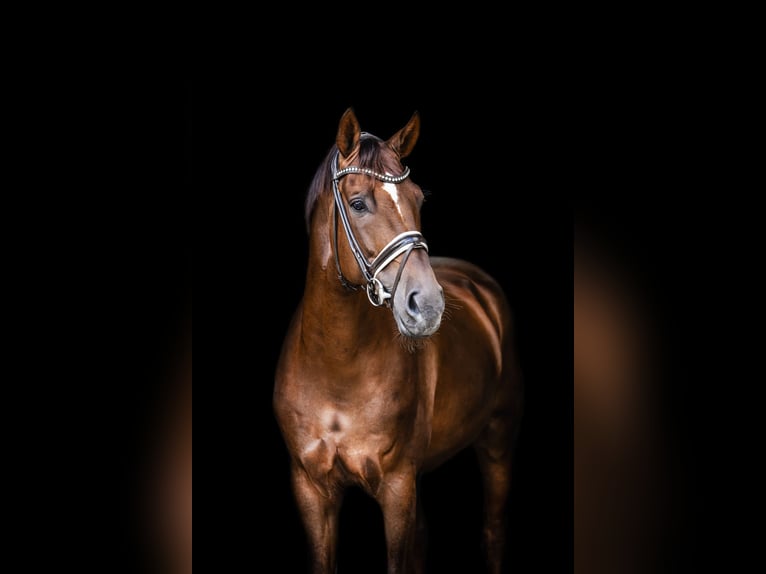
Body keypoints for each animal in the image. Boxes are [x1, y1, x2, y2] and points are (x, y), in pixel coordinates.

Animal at [274, 108, 523, 573]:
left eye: (418, 199)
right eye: (358, 203)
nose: (427, 304)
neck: (336, 368)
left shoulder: (397, 486)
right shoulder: (311, 489)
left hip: (498, 440)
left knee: (494, 533)